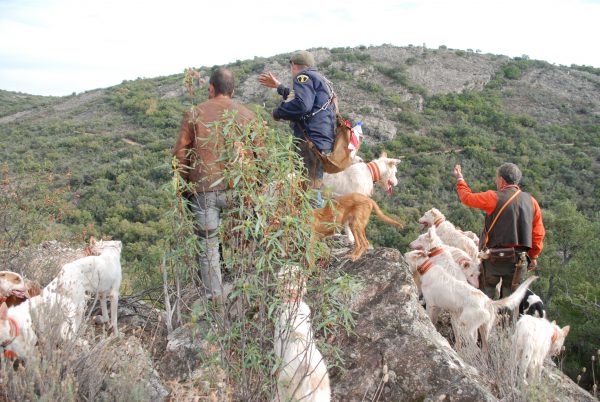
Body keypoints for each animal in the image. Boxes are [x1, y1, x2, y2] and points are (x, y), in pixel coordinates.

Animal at [404, 250, 536, 350]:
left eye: (405, 256)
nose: (402, 257)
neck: (427, 268)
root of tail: (488, 301)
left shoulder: (431, 305)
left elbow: (430, 319)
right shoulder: (438, 307)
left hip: (465, 327)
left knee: (475, 348)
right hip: (484, 329)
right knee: (485, 348)